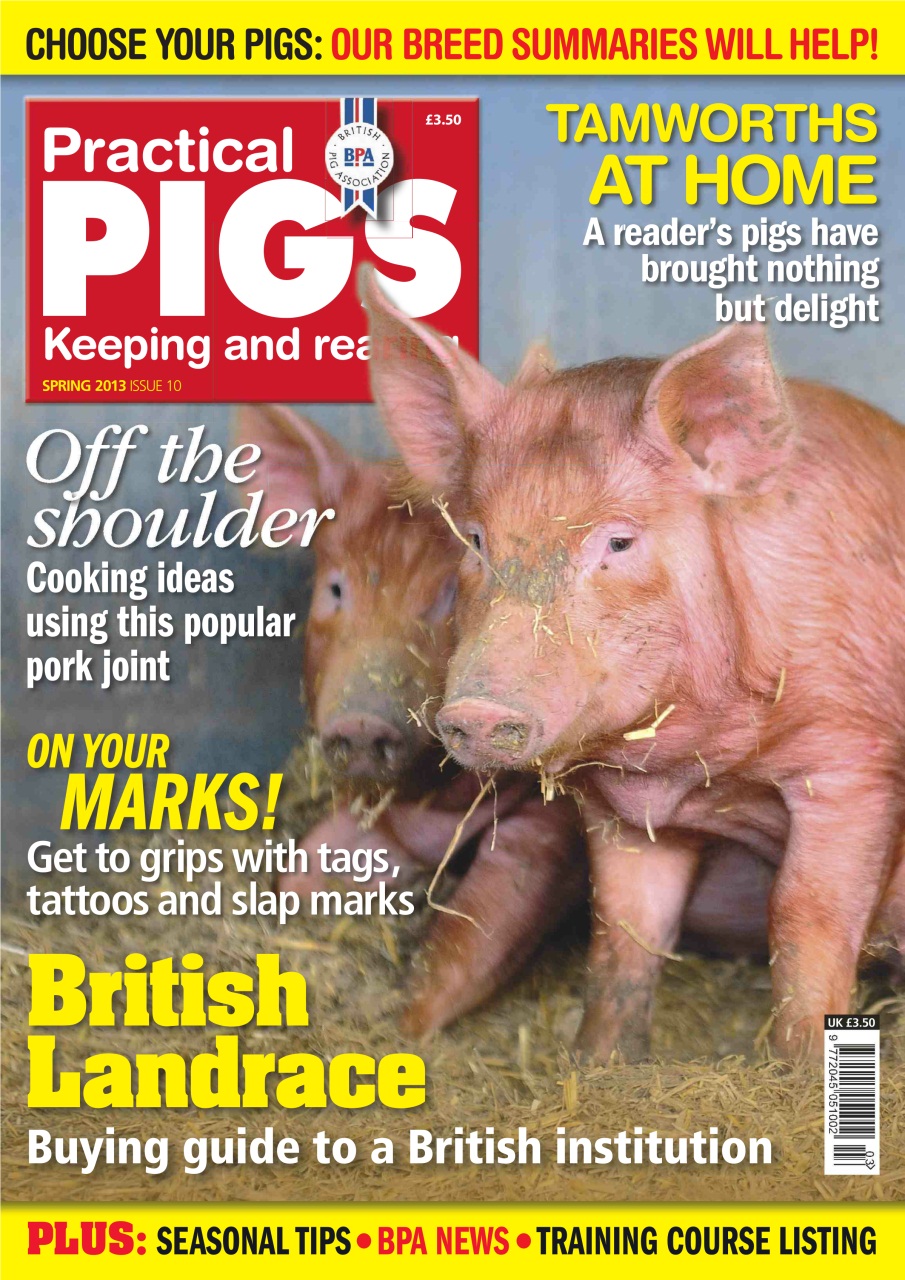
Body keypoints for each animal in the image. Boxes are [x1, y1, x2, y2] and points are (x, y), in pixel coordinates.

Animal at [234, 403, 587, 1035]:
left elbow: (481, 924)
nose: (361, 724)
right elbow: (305, 869)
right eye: (336, 588)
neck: (441, 804)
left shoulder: (557, 823)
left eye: (449, 594)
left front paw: (402, 1024)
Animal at [361, 265, 905, 1062]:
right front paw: (600, 1061)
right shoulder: (624, 810)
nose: (477, 710)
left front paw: (800, 1067)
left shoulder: (855, 763)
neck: (690, 772)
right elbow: (623, 929)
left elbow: (805, 919)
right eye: (474, 539)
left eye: (618, 543)